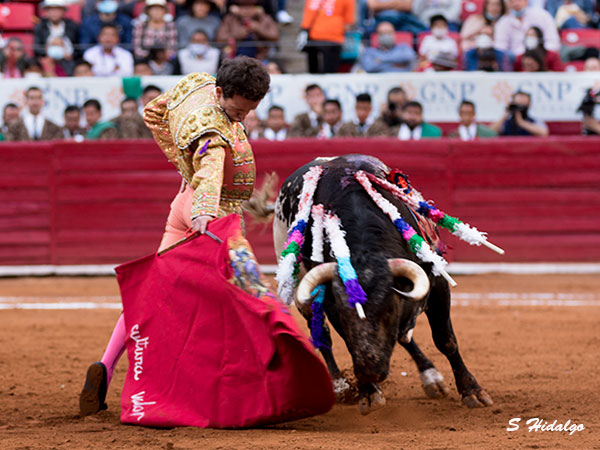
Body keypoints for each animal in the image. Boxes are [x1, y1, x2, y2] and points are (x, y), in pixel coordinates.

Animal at [272, 155, 492, 414]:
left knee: (404, 336)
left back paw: (431, 377)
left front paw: (472, 391)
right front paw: (368, 393)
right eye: (345, 316)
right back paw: (340, 386)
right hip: (299, 288)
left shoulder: (437, 284)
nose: (370, 371)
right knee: (322, 333)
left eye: (388, 310)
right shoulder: (333, 304)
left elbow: (444, 339)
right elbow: (347, 341)